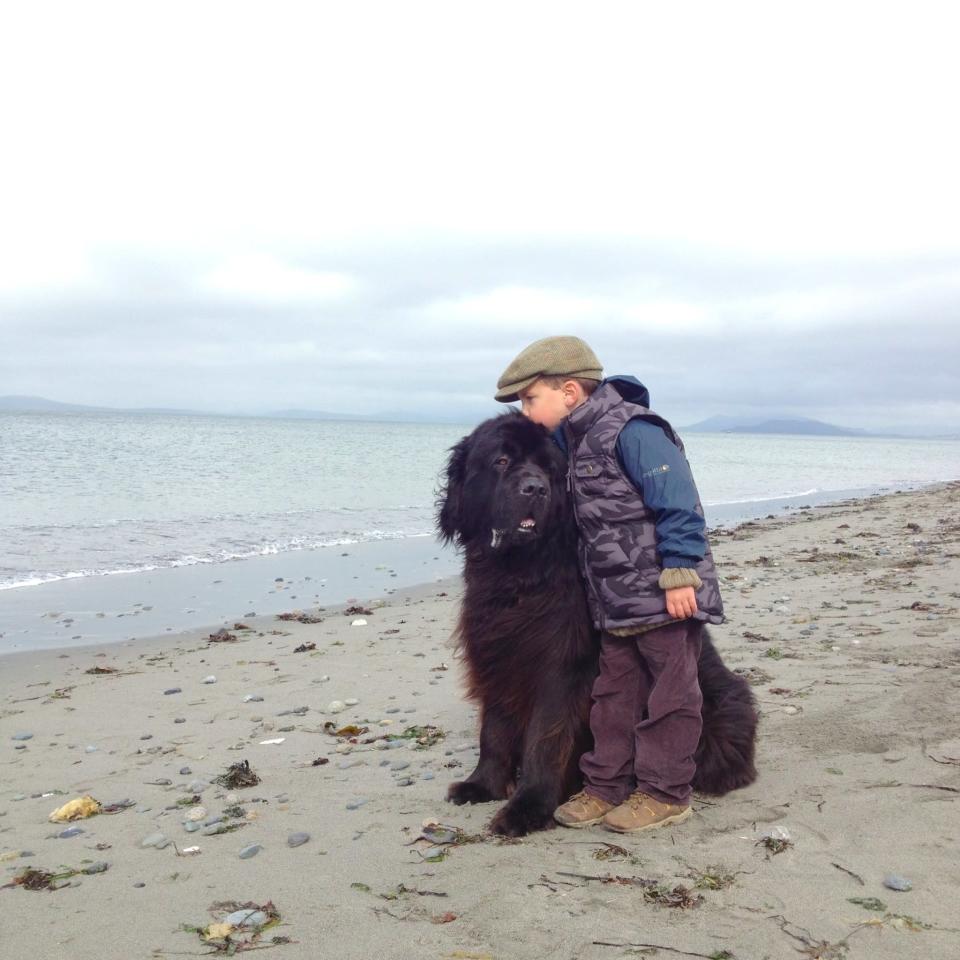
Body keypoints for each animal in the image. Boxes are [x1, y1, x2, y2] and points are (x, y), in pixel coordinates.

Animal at [436, 412, 756, 840]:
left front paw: (527, 807)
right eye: (501, 461)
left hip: (725, 702)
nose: (535, 488)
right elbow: (494, 727)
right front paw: (483, 784)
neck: (520, 575)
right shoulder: (498, 654)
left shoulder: (560, 668)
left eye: (548, 469)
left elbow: (545, 739)